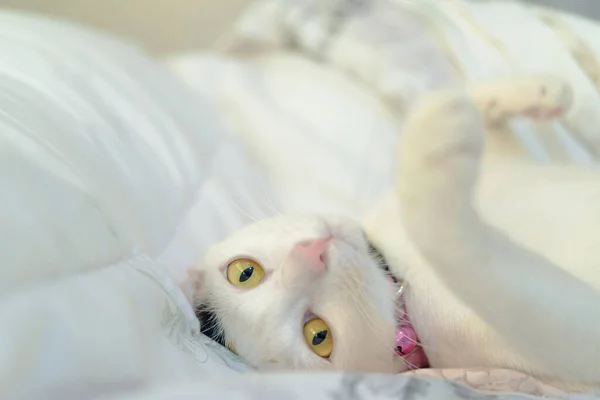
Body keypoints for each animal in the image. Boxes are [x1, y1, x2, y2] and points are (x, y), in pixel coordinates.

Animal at [186, 76, 600, 390]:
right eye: (318, 336)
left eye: (244, 272)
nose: (313, 251)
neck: (396, 267)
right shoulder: (569, 332)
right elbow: (453, 245)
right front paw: (434, 141)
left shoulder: (502, 166)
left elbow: (484, 111)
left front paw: (540, 90)